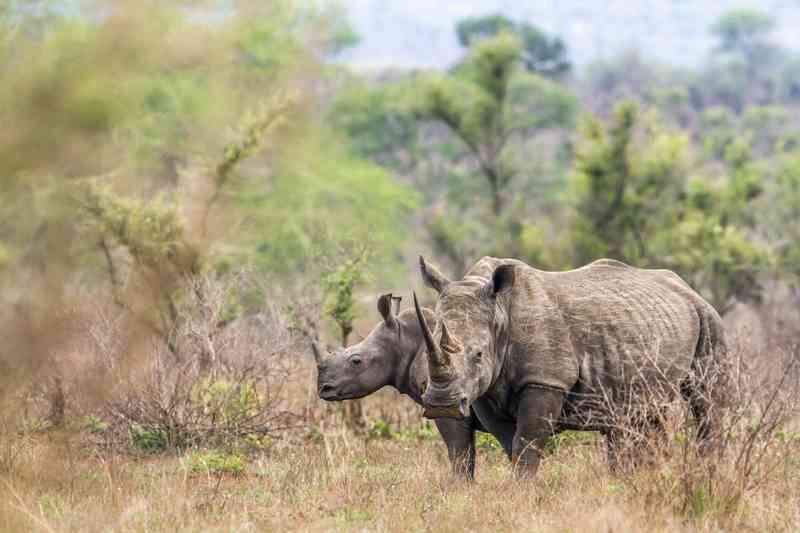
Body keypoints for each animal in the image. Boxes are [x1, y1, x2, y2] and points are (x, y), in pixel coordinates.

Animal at [314, 293, 497, 479]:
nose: (324, 389)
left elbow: (459, 455)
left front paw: (460, 484)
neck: (405, 342)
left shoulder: (448, 405)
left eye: (356, 361)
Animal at [415, 255, 727, 477]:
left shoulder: (545, 380)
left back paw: (707, 473)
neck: (499, 311)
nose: (442, 405)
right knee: (647, 414)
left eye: (479, 354)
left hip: (708, 317)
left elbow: (527, 443)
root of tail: (687, 288)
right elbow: (511, 445)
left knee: (706, 400)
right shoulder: (486, 390)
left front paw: (522, 492)